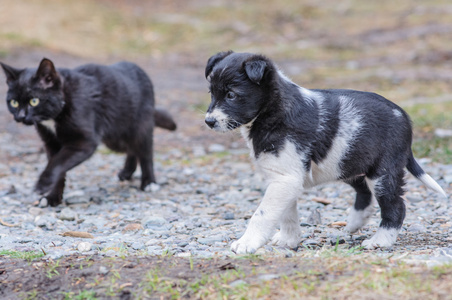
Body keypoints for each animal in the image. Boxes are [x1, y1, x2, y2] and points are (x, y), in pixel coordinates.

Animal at [0, 59, 177, 207]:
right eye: (13, 103)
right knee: (131, 148)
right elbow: (58, 167)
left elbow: (57, 162)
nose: (20, 117)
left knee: (145, 152)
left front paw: (43, 184)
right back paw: (127, 172)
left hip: (139, 127)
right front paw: (53, 198)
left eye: (34, 101)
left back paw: (149, 183)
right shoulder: (51, 143)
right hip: (115, 137)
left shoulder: (84, 142)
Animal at [206, 49, 448, 253]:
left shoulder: (285, 178)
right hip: (347, 164)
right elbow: (287, 215)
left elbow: (262, 214)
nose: (209, 122)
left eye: (231, 95)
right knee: (364, 192)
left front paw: (247, 243)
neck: (273, 110)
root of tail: (404, 117)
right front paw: (288, 240)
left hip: (382, 173)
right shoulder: (284, 178)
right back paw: (355, 223)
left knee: (396, 206)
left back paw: (380, 241)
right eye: (211, 93)